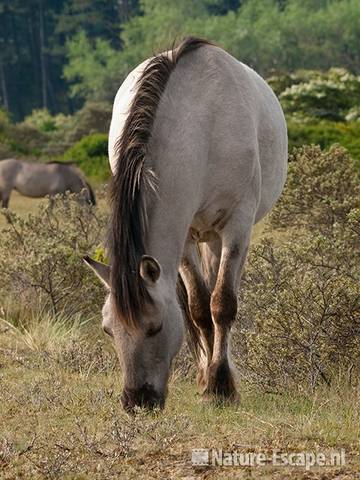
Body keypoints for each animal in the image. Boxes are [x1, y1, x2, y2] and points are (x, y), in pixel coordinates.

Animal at [83, 37, 286, 410]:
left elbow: (223, 303)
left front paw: (221, 387)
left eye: (156, 327)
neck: (203, 126)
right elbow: (198, 308)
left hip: (219, 236)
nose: (137, 401)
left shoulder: (237, 227)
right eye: (108, 330)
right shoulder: (186, 236)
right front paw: (207, 381)